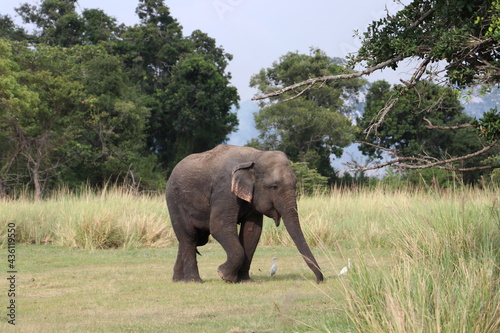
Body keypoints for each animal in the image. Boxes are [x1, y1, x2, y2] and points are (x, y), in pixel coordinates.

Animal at [166, 144, 324, 282]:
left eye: (295, 185)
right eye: (273, 187)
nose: (319, 280)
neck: (255, 156)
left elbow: (252, 232)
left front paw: (244, 280)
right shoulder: (224, 190)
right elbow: (219, 227)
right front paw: (224, 275)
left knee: (188, 239)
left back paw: (179, 280)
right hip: (175, 202)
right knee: (189, 236)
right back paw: (194, 281)